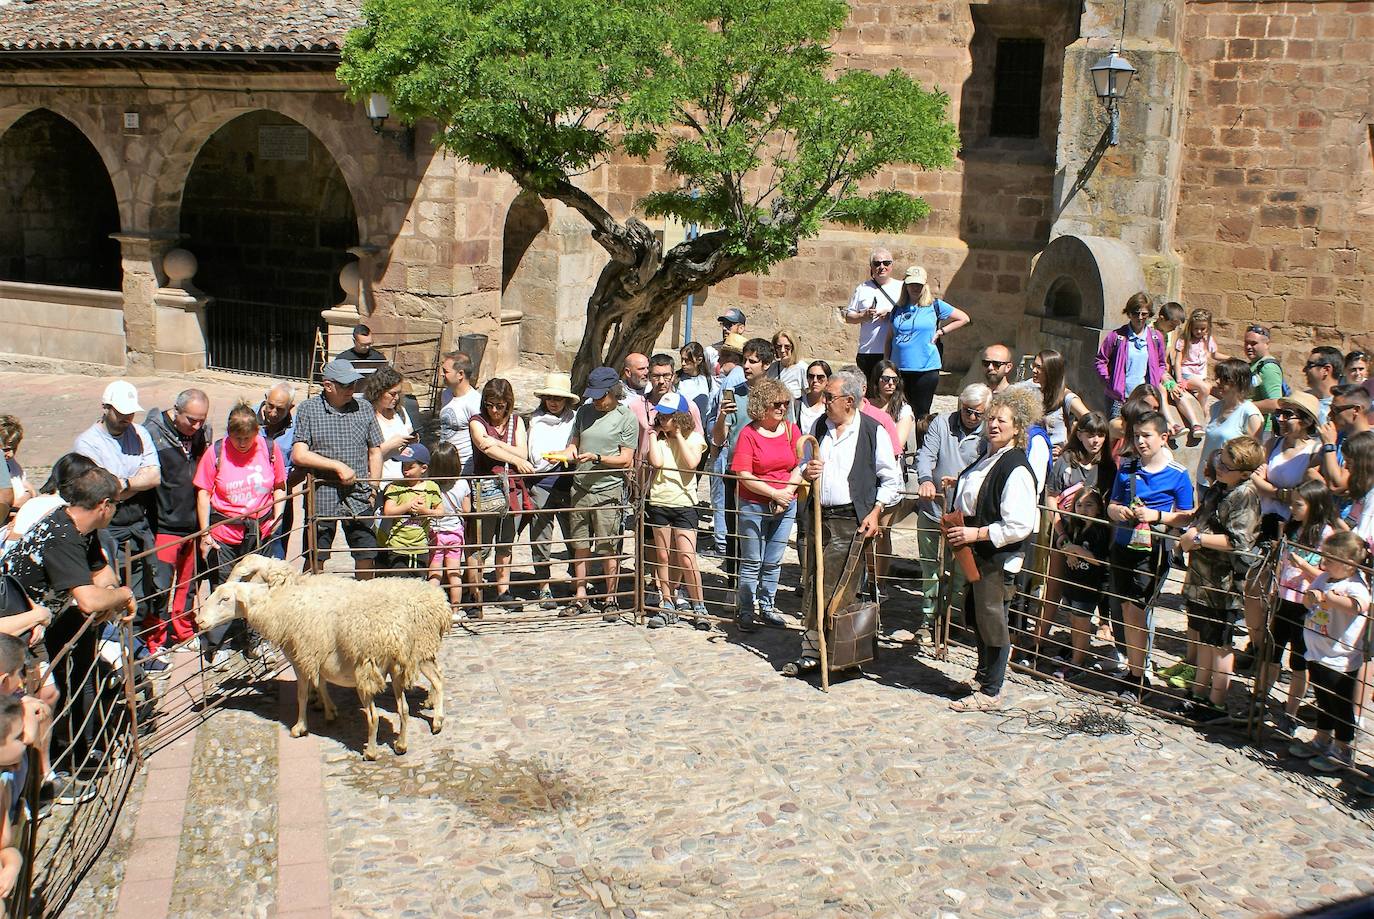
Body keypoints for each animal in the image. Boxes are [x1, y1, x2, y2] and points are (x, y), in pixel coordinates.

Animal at [199, 574, 447, 758]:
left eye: (224, 599)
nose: (199, 621)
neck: (278, 605)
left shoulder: (301, 659)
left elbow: (301, 694)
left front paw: (300, 727)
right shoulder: (319, 658)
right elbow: (322, 684)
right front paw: (329, 710)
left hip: (371, 672)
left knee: (376, 716)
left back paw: (373, 752)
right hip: (402, 667)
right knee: (411, 702)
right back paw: (405, 742)